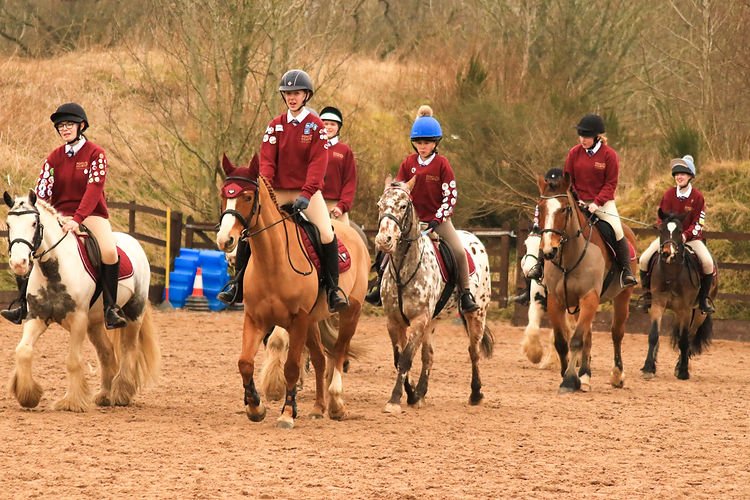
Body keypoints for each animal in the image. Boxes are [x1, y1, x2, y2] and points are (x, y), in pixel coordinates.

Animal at [3, 191, 159, 411]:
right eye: (8, 224)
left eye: (34, 223)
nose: (19, 263)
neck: (54, 270)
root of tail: (133, 241)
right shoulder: (37, 316)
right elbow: (23, 351)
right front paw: (28, 395)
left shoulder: (78, 319)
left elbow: (73, 360)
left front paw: (71, 402)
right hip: (95, 323)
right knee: (106, 352)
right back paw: (105, 394)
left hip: (134, 313)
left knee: (128, 350)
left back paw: (121, 392)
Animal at [215, 161, 369, 429]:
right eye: (225, 195)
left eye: (247, 197)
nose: (226, 240)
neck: (272, 261)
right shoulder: (256, 319)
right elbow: (245, 363)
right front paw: (255, 407)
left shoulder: (297, 321)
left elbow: (292, 368)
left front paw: (287, 413)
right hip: (313, 322)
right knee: (319, 359)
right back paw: (318, 408)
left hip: (351, 312)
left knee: (338, 352)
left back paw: (336, 404)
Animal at [374, 177, 494, 413]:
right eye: (380, 205)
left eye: (403, 206)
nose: (384, 240)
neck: (403, 268)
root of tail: (474, 238)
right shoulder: (394, 321)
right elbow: (399, 358)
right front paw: (411, 393)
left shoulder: (419, 319)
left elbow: (405, 359)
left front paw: (395, 399)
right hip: (433, 320)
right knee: (428, 356)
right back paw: (421, 393)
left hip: (477, 314)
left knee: (473, 351)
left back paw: (476, 394)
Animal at [535, 173, 636, 393]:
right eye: (541, 207)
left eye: (564, 208)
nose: (548, 250)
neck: (569, 257)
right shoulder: (556, 301)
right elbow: (562, 341)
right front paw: (568, 373)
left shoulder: (589, 297)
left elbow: (575, 341)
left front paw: (569, 381)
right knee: (588, 337)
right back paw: (585, 375)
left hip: (622, 297)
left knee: (616, 333)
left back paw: (617, 376)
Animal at [640, 210, 717, 380]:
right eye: (661, 230)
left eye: (680, 231)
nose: (668, 253)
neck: (672, 274)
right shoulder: (658, 304)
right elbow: (654, 335)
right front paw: (648, 368)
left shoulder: (685, 309)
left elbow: (684, 340)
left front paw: (683, 371)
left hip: (699, 313)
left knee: (690, 336)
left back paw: (680, 366)